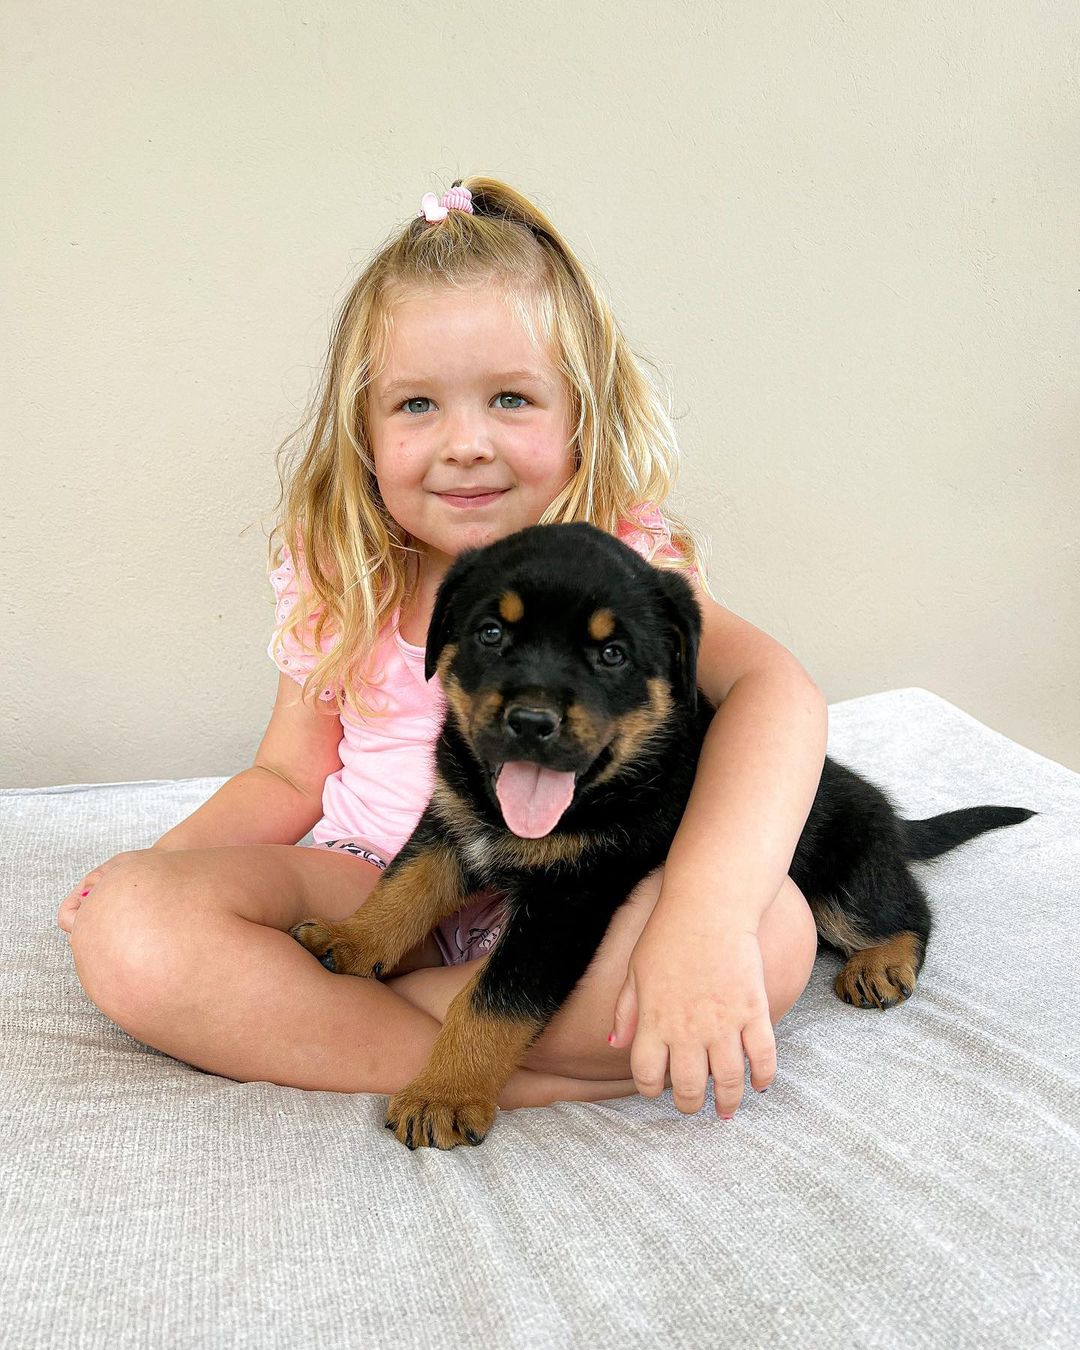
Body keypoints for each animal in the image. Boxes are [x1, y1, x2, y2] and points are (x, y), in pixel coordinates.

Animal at [291, 518, 1031, 1150]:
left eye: (613, 654)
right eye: (491, 634)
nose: (531, 721)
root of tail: (890, 816)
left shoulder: (568, 902)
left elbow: (493, 1000)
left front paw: (443, 1094)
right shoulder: (451, 823)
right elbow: (402, 889)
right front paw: (349, 940)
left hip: (840, 876)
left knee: (909, 911)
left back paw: (880, 964)